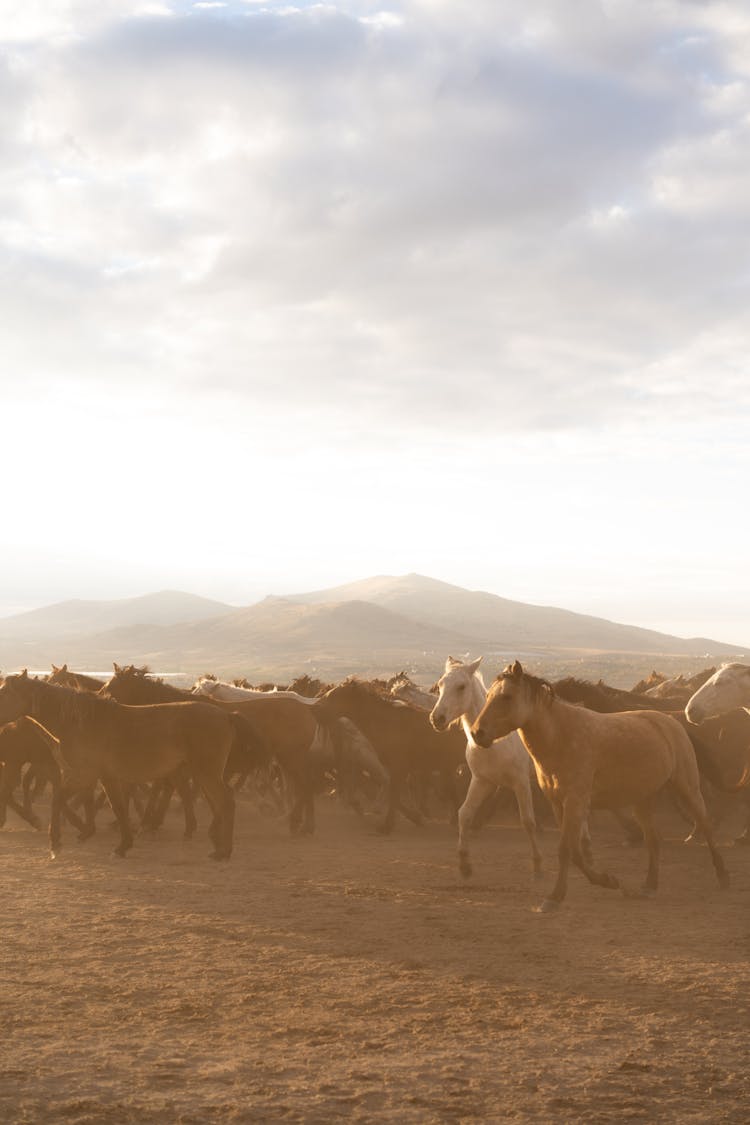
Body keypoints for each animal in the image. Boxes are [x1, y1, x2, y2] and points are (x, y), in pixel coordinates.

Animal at [0, 670, 236, 855]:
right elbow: (118, 807)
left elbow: (58, 800)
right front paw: (123, 845)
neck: (82, 722)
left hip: (206, 773)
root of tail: (226, 715)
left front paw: (55, 842)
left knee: (224, 802)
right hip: (200, 773)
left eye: (4, 692)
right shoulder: (105, 777)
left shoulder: (83, 775)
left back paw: (223, 851)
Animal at [431, 657, 541, 877]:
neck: (496, 742)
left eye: (461, 686)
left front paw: (537, 865)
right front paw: (464, 864)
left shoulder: (521, 783)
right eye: (440, 685)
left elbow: (528, 821)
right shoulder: (482, 781)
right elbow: (464, 814)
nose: (437, 718)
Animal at [472, 657, 728, 913]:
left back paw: (722, 876)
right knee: (653, 840)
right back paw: (648, 887)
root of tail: (672, 722)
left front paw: (554, 898)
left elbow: (566, 849)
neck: (561, 737)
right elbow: (575, 852)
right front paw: (608, 880)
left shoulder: (575, 802)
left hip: (687, 788)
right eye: (488, 695)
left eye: (507, 697)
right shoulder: (558, 804)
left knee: (705, 825)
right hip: (643, 800)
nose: (477, 733)